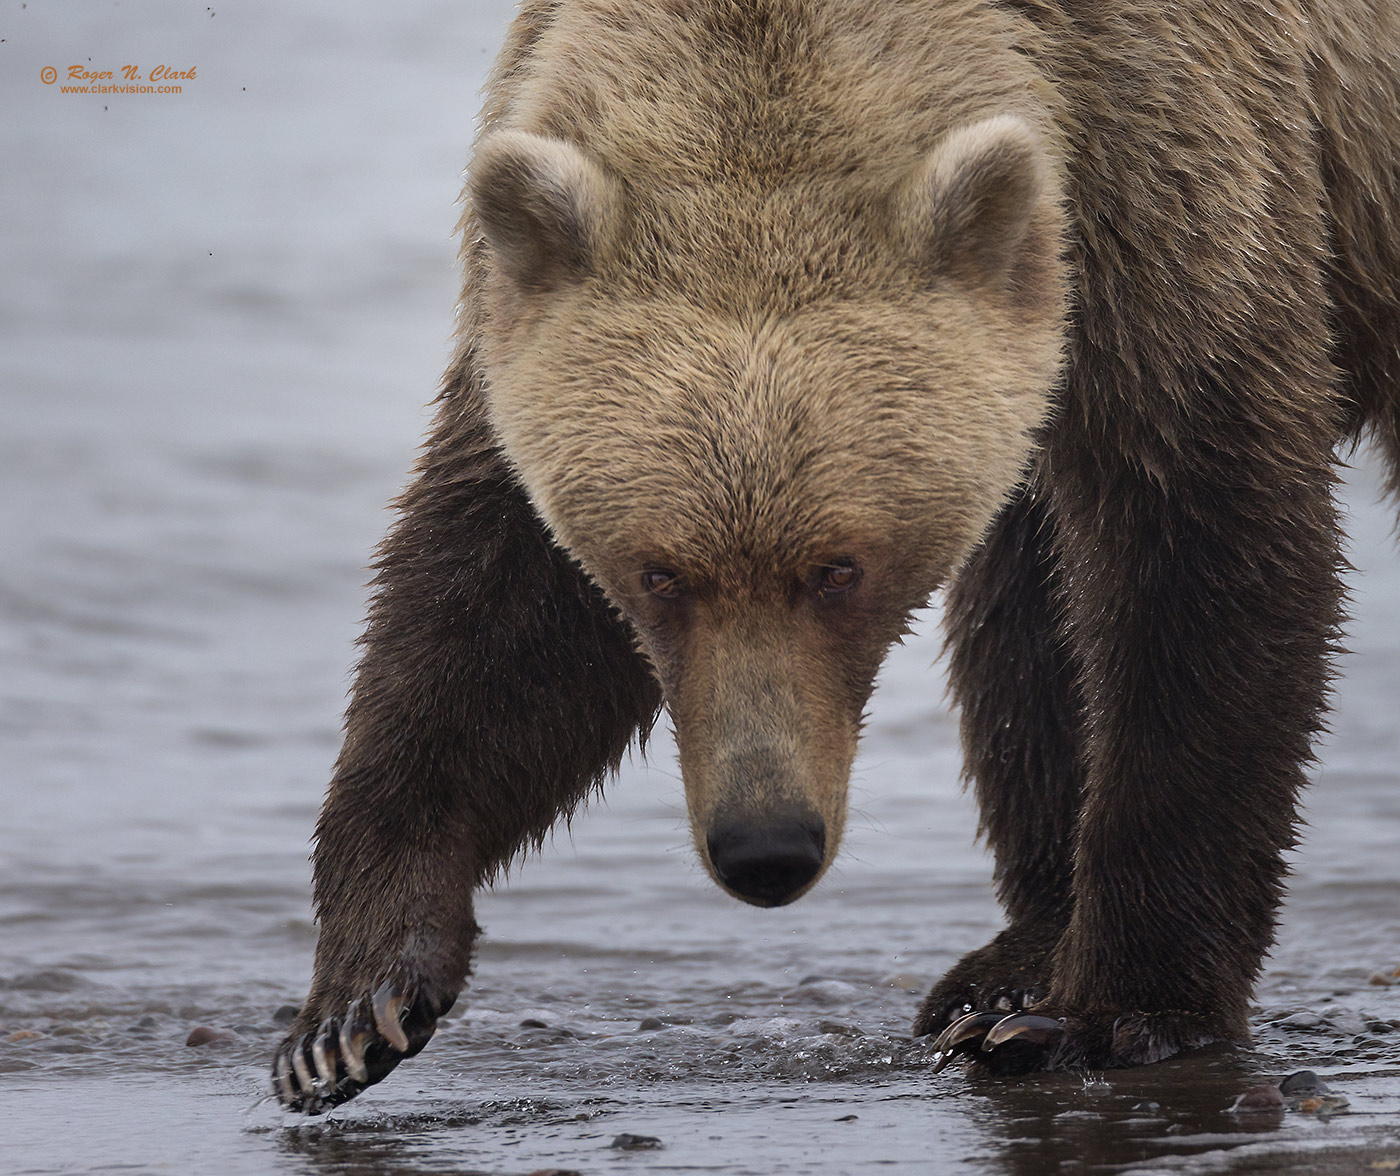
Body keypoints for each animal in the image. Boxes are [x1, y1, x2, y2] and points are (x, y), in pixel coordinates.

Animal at [270, 0, 1400, 1114]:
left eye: (837, 570)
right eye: (659, 574)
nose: (765, 847)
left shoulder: (1176, 191)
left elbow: (1199, 559)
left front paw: (1108, 1012)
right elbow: (498, 611)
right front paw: (351, 1013)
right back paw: (1006, 963)